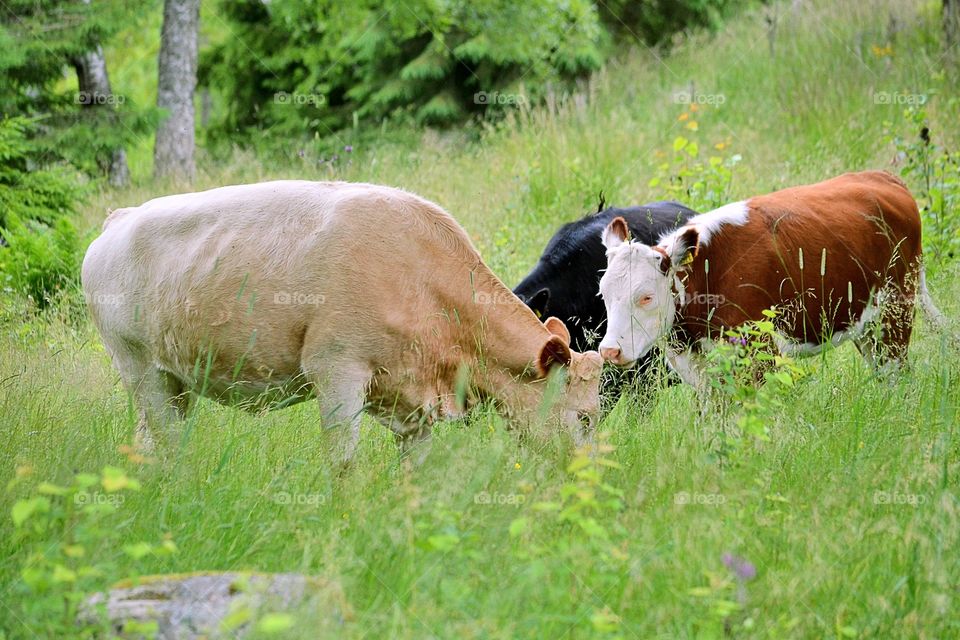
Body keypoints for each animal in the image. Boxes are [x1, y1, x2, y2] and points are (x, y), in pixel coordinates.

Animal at [82, 180, 600, 460]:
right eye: (586, 417)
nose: (591, 479)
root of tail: (119, 218)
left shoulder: (415, 402)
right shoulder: (336, 373)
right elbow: (344, 465)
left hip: (176, 384)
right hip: (142, 373)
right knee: (165, 445)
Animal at [596, 170, 940, 384]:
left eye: (646, 297)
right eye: (604, 295)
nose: (610, 351)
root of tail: (882, 178)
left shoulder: (758, 353)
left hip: (895, 315)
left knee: (896, 375)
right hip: (867, 325)